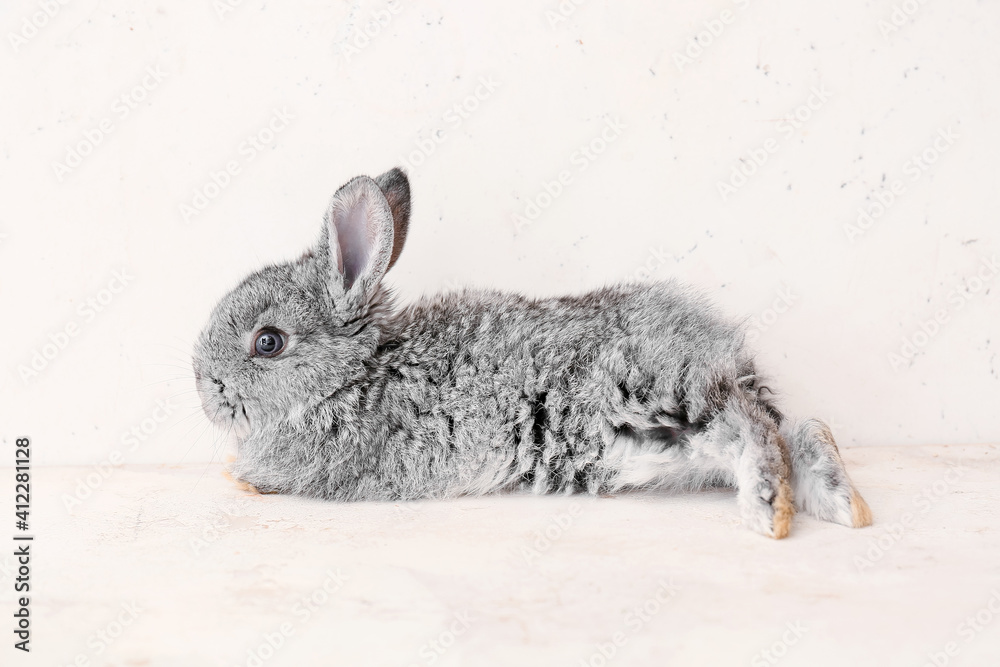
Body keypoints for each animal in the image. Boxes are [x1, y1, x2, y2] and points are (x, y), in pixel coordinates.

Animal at [193, 167, 872, 539]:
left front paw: (235, 476)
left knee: (755, 428)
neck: (355, 374)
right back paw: (841, 504)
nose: (203, 386)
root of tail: (728, 355)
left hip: (656, 391)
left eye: (268, 342)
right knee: (796, 429)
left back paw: (769, 512)